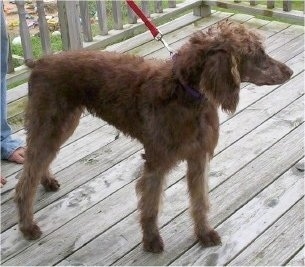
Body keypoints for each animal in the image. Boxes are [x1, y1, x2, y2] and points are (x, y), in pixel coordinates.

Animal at [15, 21, 290, 253]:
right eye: (259, 54)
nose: (290, 71)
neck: (186, 93)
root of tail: (39, 62)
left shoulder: (199, 158)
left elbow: (200, 202)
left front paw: (204, 234)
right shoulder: (156, 163)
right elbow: (150, 206)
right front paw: (151, 241)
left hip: (62, 125)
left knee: (37, 164)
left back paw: (47, 181)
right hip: (50, 125)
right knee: (25, 179)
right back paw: (27, 226)